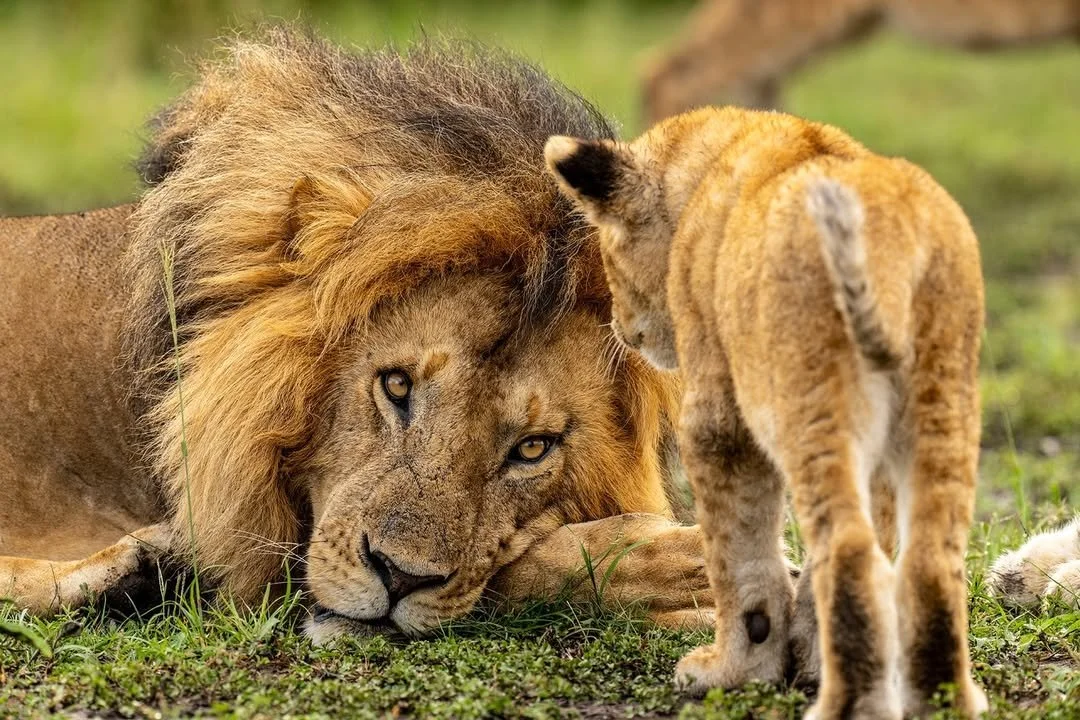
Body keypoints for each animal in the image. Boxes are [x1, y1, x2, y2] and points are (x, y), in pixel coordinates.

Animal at [545, 106, 987, 717]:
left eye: (608, 256)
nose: (622, 331)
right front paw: (807, 653)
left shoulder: (717, 421)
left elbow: (739, 554)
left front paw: (736, 668)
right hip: (944, 400)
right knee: (929, 555)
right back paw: (945, 700)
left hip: (810, 401)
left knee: (847, 546)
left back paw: (845, 705)